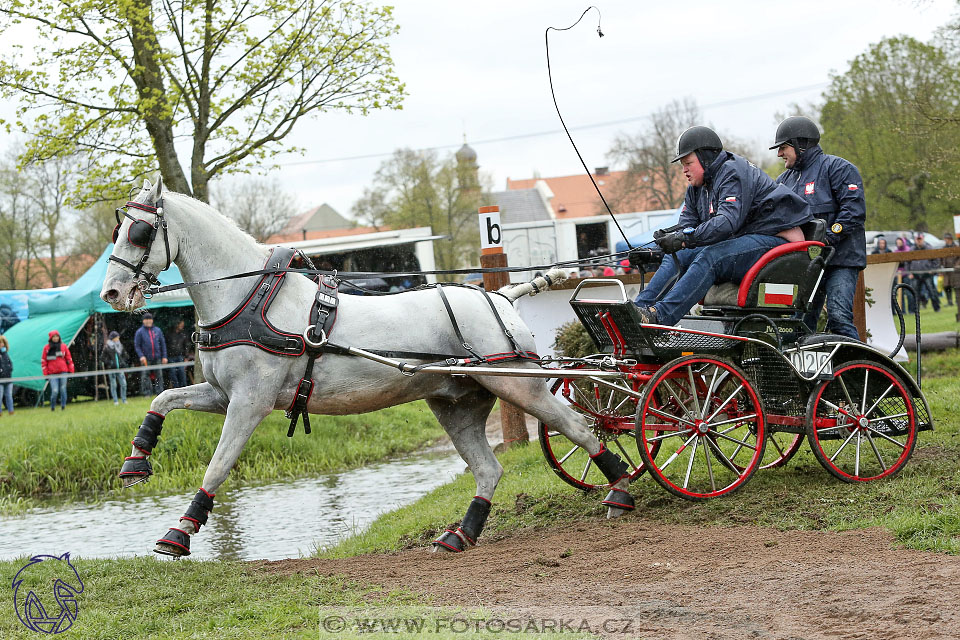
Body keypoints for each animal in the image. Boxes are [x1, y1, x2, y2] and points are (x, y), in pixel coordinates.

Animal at [101, 176, 632, 556]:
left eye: (140, 232)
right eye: (118, 230)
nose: (111, 293)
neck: (249, 296)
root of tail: (500, 296)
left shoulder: (250, 403)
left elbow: (217, 466)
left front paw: (180, 532)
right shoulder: (221, 394)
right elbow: (164, 397)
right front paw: (136, 461)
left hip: (520, 384)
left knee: (579, 428)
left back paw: (621, 490)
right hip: (457, 405)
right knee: (488, 469)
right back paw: (461, 534)